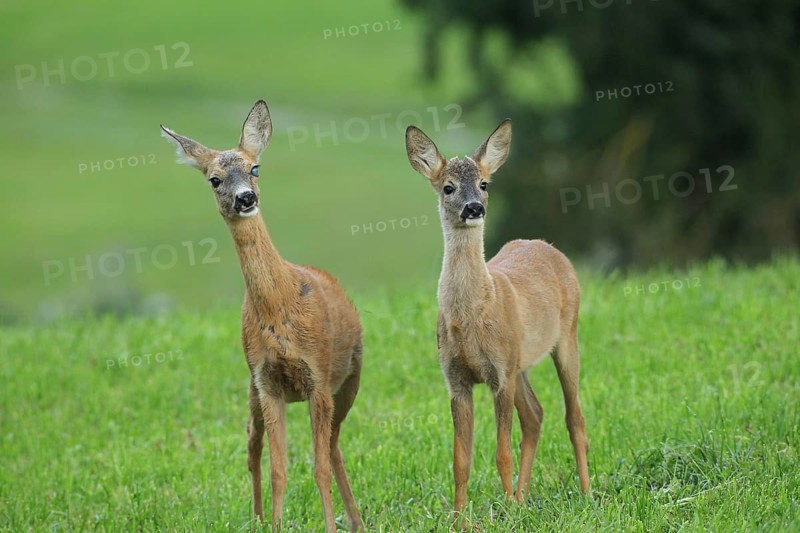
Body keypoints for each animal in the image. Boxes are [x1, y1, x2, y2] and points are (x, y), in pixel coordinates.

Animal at [160, 100, 364, 533]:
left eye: (255, 168)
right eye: (214, 179)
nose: (245, 198)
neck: (280, 308)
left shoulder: (318, 377)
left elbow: (318, 466)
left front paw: (329, 525)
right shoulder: (266, 381)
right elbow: (278, 469)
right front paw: (274, 524)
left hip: (349, 379)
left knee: (333, 447)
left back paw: (356, 520)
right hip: (252, 389)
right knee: (253, 447)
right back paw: (256, 517)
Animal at [404, 119, 590, 522]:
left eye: (485, 183)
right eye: (448, 186)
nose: (474, 207)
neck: (473, 317)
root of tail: (548, 246)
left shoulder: (499, 375)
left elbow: (502, 452)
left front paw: (506, 512)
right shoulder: (458, 379)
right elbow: (460, 460)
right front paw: (460, 518)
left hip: (567, 337)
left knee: (574, 417)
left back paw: (585, 493)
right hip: (520, 362)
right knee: (535, 415)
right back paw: (522, 497)